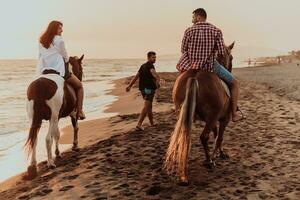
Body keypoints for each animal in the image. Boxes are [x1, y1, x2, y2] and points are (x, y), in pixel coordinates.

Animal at [164, 43, 234, 184]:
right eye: (232, 57)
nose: (229, 69)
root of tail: (195, 76)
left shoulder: (212, 119)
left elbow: (216, 134)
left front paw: (218, 152)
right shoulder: (223, 119)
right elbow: (219, 136)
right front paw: (220, 153)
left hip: (184, 113)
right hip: (212, 117)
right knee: (204, 137)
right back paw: (209, 161)